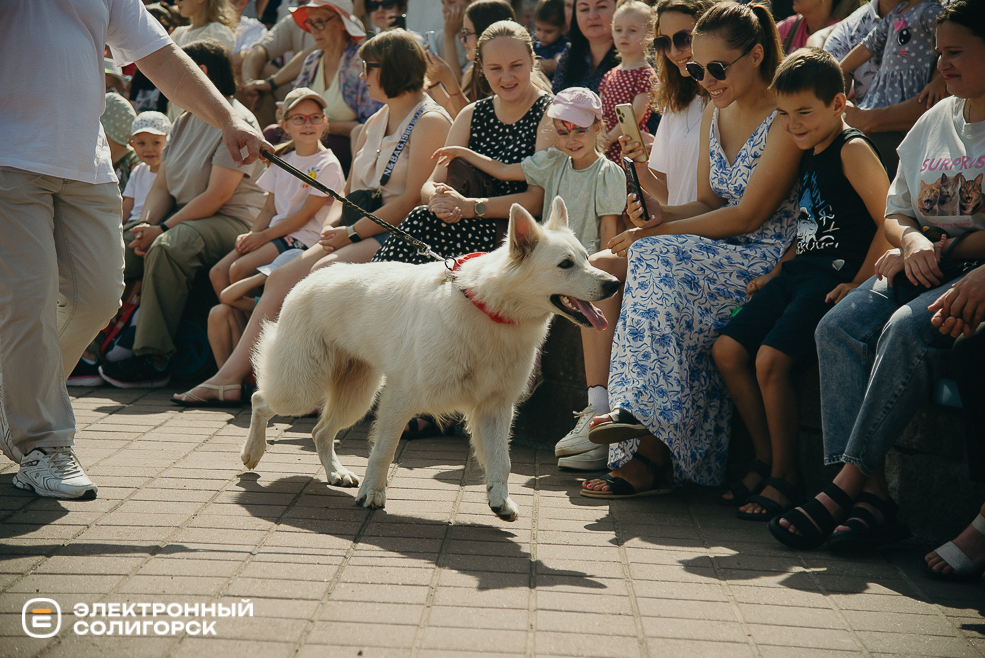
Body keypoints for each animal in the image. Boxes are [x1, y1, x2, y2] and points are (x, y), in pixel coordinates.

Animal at [240, 195, 616, 516]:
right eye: (565, 264)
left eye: (586, 258)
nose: (613, 284)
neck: (487, 308)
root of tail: (310, 277)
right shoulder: (401, 397)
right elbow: (383, 451)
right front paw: (372, 493)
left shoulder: (495, 407)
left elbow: (502, 461)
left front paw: (500, 500)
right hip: (303, 389)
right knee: (261, 400)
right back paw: (252, 453)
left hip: (355, 395)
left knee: (320, 431)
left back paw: (335, 473)